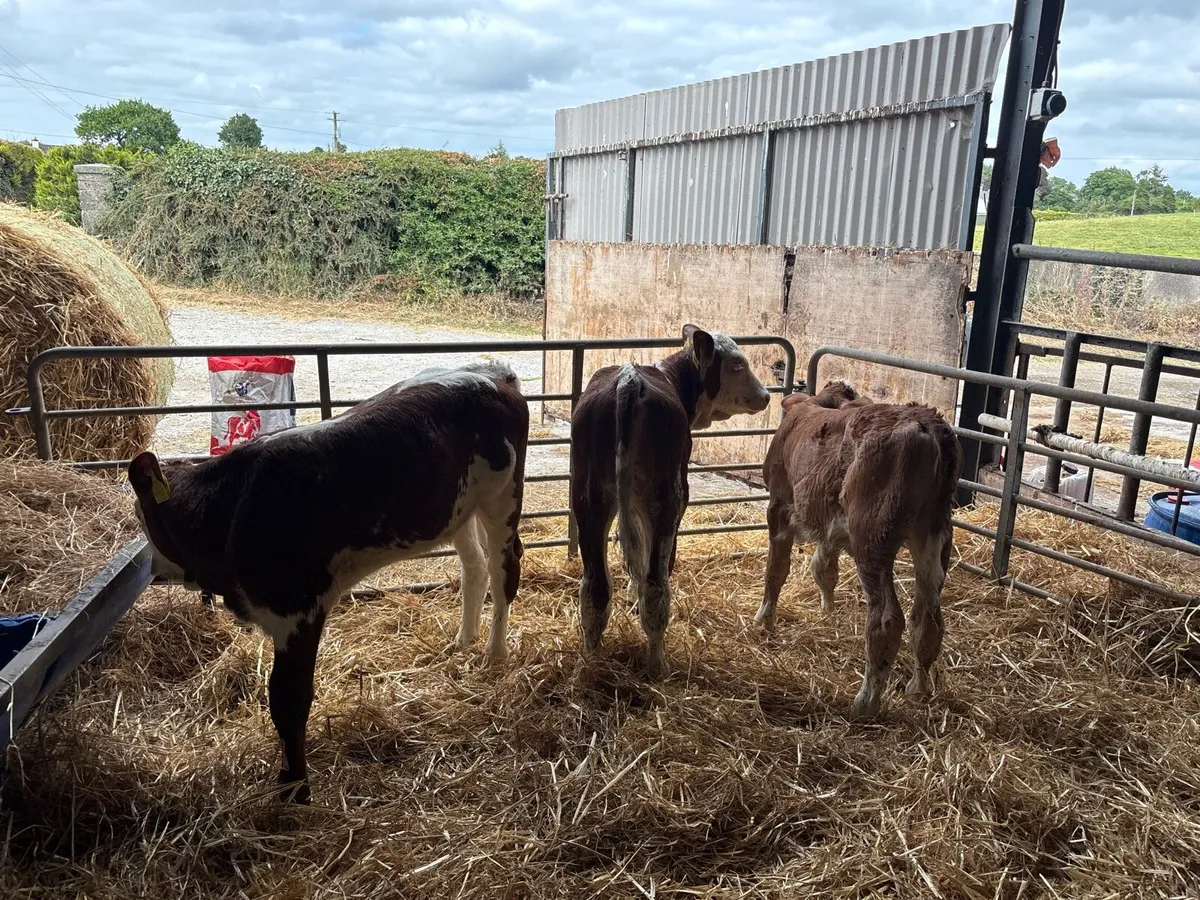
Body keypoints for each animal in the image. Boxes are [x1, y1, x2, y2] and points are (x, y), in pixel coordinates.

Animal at [127, 360, 528, 803]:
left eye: (142, 518)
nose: (153, 568)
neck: (230, 510)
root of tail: (491, 371)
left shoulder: (298, 609)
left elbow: (288, 700)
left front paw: (295, 789)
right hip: (458, 510)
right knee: (474, 568)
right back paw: (462, 641)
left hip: (502, 497)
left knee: (505, 569)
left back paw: (493, 653)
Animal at [571, 325, 771, 679]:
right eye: (737, 366)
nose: (766, 396)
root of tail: (629, 380)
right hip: (666, 498)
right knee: (656, 586)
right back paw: (658, 667)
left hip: (589, 500)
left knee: (595, 590)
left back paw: (592, 662)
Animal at [754, 380, 962, 719]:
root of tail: (927, 425)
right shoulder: (832, 530)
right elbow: (823, 569)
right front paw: (828, 611)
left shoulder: (779, 507)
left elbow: (776, 570)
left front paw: (764, 620)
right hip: (934, 536)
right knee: (927, 619)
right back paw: (918, 689)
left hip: (871, 539)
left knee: (887, 621)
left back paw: (865, 703)